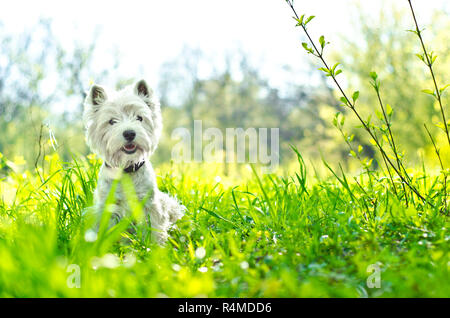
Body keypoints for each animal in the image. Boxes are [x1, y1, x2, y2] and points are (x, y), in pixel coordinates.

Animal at [82, 79, 185, 243]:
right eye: (112, 121)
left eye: (139, 118)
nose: (129, 133)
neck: (126, 169)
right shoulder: (108, 207)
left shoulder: (150, 204)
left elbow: (154, 228)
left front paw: (157, 246)